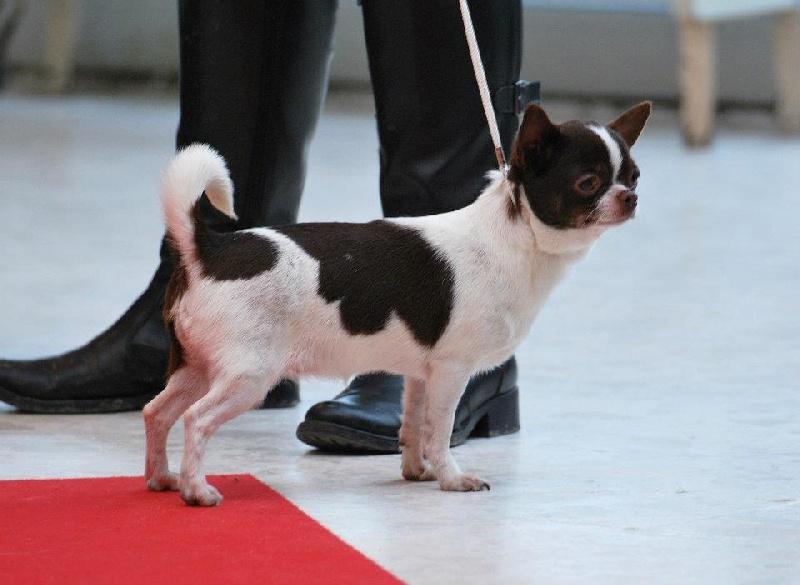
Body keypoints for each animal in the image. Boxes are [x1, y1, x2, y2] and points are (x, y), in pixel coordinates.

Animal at [143, 101, 651, 506]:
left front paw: (416, 472)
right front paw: (452, 479)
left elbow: (413, 426)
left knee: (157, 412)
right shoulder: (451, 372)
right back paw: (196, 490)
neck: (512, 236)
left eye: (634, 176)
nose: (630, 198)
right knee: (195, 420)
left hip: (194, 367)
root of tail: (208, 249)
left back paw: (161, 479)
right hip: (248, 377)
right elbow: (439, 431)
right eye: (588, 183)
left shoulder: (420, 373)